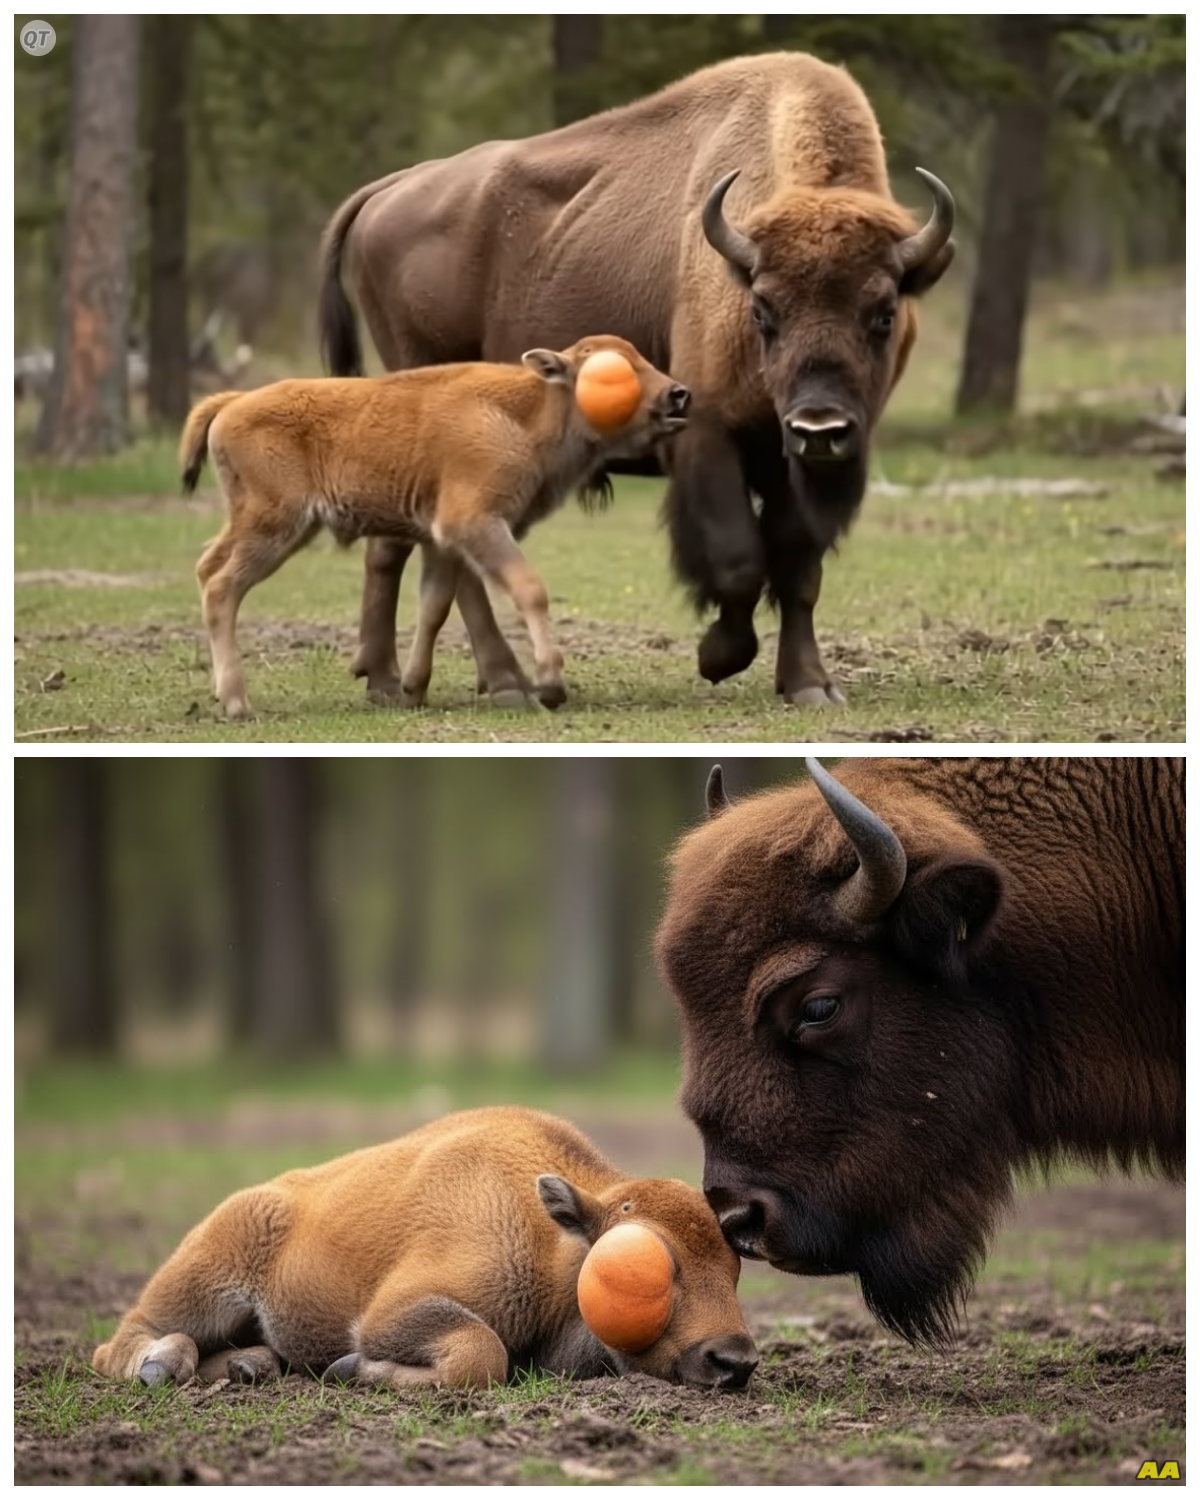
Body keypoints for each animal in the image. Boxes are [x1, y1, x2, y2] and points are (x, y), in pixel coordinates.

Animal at [92, 1106, 758, 1392]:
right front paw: (351, 1370)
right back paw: (162, 1365)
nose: (736, 1361)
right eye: (644, 1270)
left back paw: (248, 1366)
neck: (551, 1238)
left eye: (735, 1268)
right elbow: (480, 1353)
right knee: (121, 1339)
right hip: (205, 1278)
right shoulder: (395, 1314)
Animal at [179, 334, 688, 720]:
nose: (678, 394)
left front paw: (413, 688)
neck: (527, 411)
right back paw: (239, 704)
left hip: (255, 522)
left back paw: (220, 693)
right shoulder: (476, 524)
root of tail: (235, 402)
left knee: (206, 568)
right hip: (276, 525)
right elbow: (528, 588)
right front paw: (550, 684)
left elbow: (434, 605)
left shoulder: (443, 541)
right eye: (613, 371)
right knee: (223, 587)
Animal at [317, 50, 956, 709]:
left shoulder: (799, 461)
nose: (819, 424)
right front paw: (719, 656)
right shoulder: (705, 433)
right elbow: (738, 559)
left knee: (409, 549)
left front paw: (810, 685)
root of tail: (390, 189)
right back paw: (490, 684)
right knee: (444, 556)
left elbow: (798, 566)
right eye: (761, 309)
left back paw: (401, 679)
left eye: (883, 312)